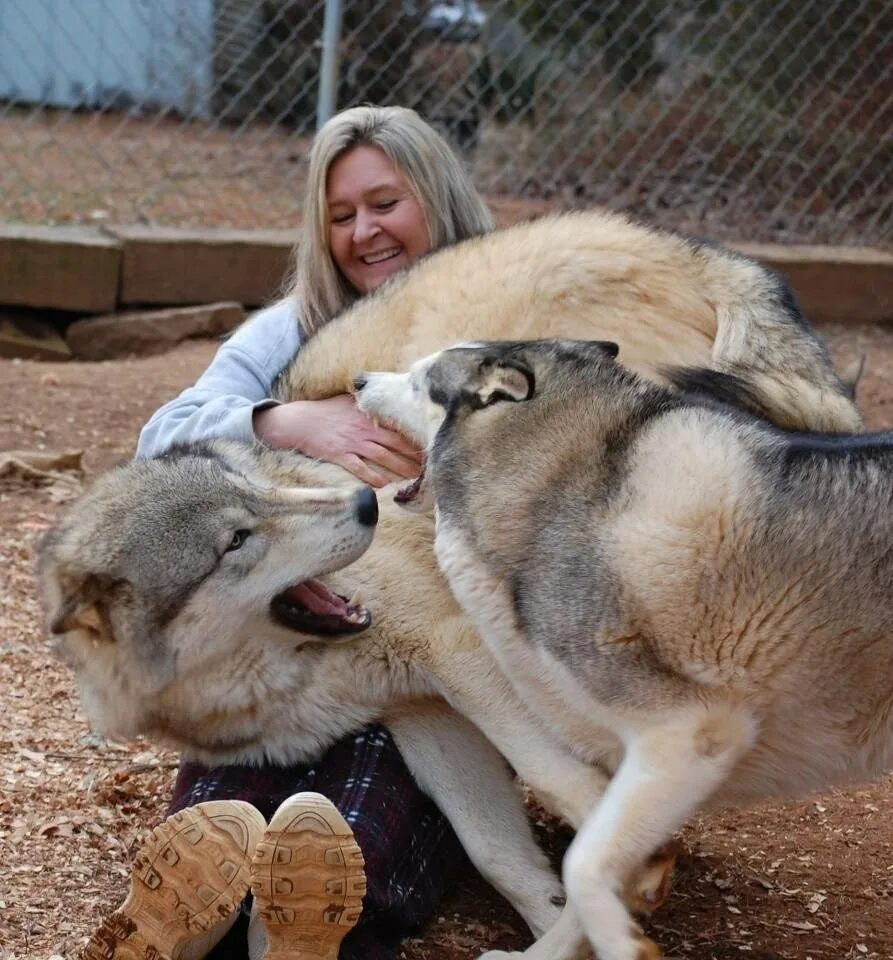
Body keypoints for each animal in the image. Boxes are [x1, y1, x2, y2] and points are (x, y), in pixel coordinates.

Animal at [356, 338, 892, 960]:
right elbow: (587, 866)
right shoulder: (629, 764)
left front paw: (624, 946)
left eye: (420, 380)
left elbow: (582, 864)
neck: (557, 486)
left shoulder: (691, 736)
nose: (358, 381)